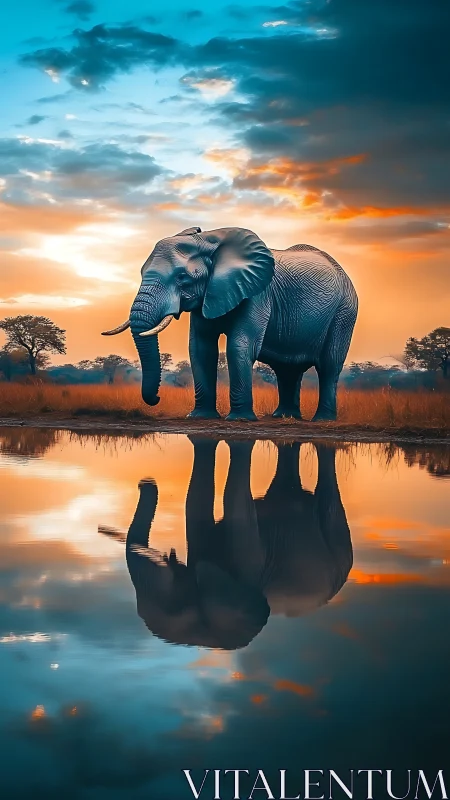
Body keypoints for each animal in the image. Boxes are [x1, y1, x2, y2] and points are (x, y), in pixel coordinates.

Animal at [102, 226, 358, 421]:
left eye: (182, 277)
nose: (156, 398)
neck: (209, 239)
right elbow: (200, 349)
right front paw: (200, 417)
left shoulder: (257, 293)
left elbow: (239, 346)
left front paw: (241, 419)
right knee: (286, 369)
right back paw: (285, 417)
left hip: (345, 311)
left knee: (329, 365)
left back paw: (322, 420)